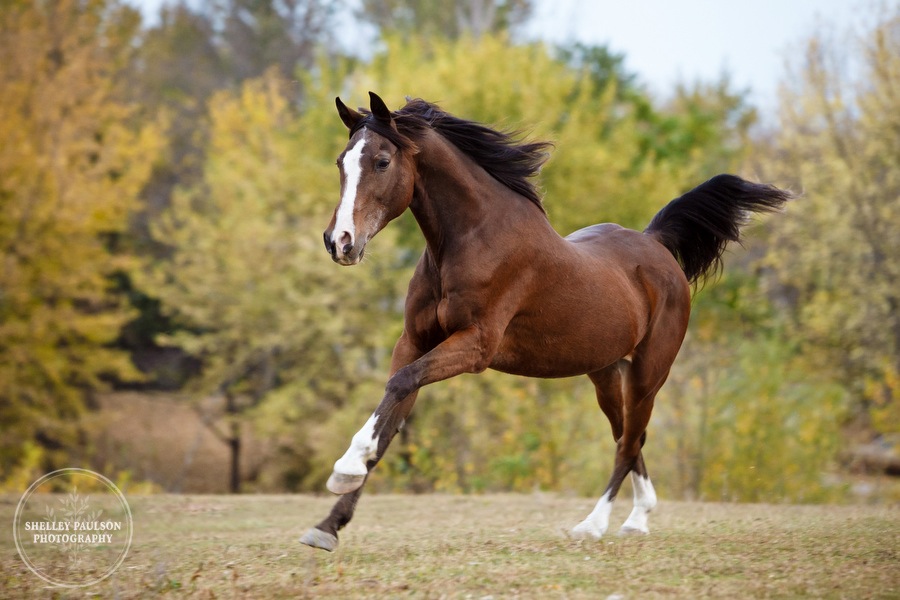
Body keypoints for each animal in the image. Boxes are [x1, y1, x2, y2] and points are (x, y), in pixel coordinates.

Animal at [300, 91, 788, 552]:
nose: (340, 242)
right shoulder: (414, 343)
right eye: (341, 161)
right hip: (606, 373)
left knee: (629, 441)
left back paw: (594, 525)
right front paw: (328, 526)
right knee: (629, 436)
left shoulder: (476, 346)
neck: (471, 240)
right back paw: (638, 518)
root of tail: (656, 245)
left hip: (650, 371)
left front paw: (345, 467)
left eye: (382, 161)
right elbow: (392, 413)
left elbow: (398, 388)